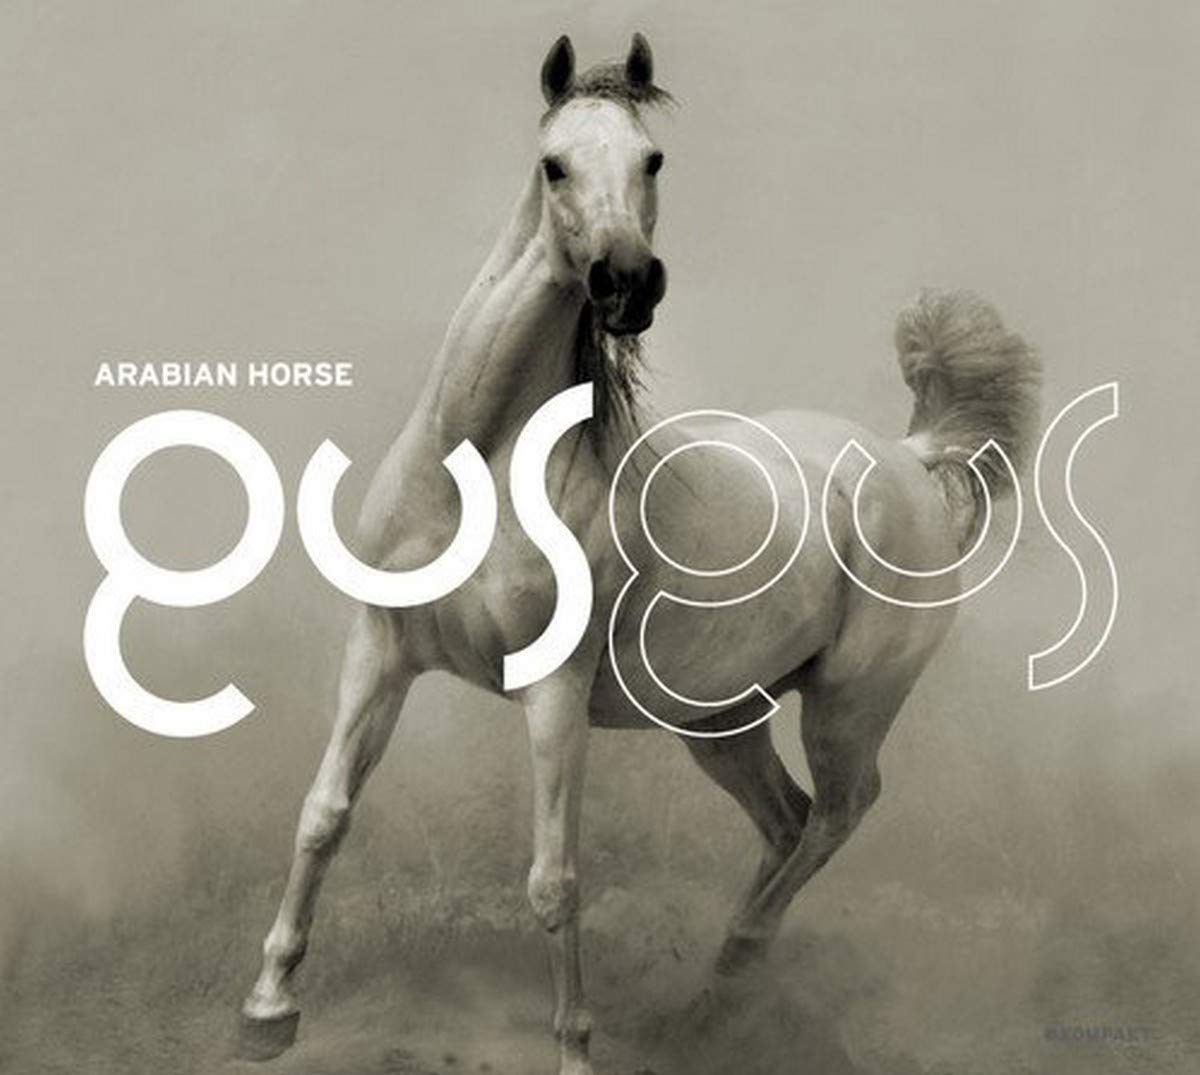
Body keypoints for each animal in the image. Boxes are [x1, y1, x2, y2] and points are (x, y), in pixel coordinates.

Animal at [237, 33, 1041, 1075]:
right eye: (554, 163)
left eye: (653, 159)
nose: (628, 282)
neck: (482, 466)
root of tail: (909, 458)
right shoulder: (380, 650)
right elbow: (324, 811)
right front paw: (266, 1008)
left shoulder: (553, 692)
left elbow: (554, 879)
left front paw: (577, 1047)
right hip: (719, 719)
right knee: (786, 820)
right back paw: (711, 1002)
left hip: (848, 707)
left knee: (839, 810)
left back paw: (728, 974)